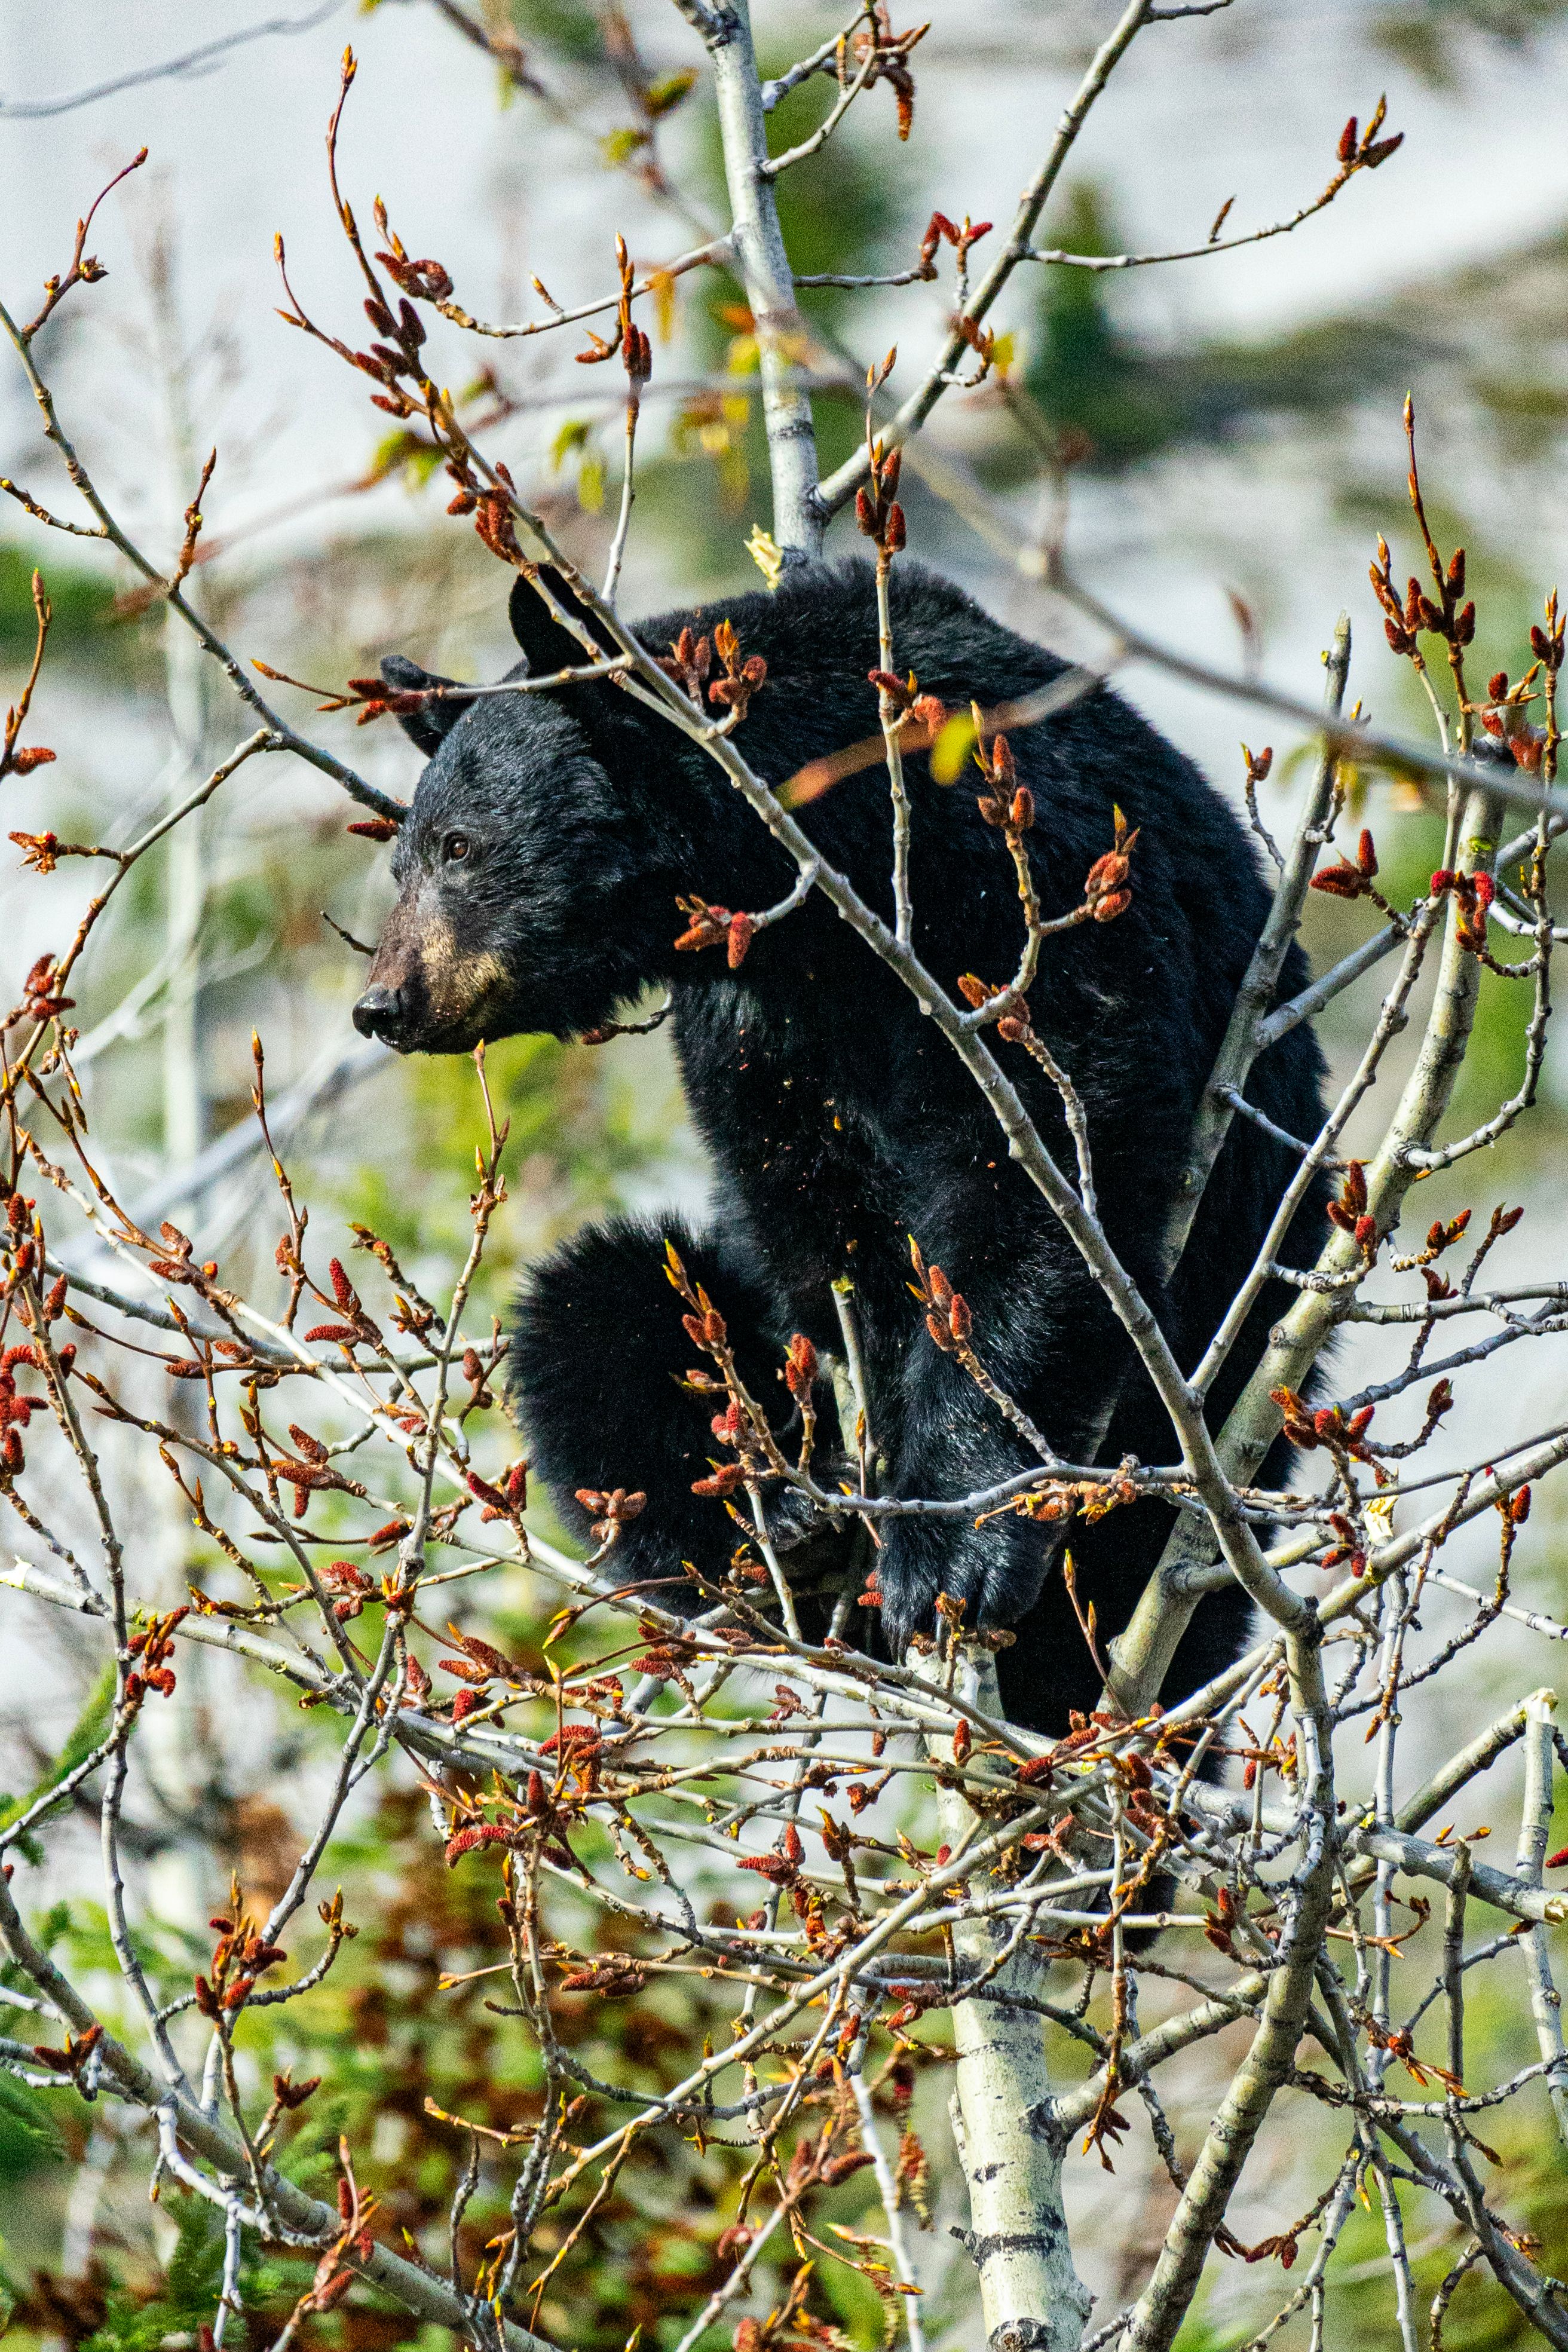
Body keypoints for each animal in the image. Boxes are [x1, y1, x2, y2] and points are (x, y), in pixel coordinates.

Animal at [353, 558, 1328, 1735]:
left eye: (458, 847)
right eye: (405, 861)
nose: (383, 1004)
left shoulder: (1030, 886)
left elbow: (1042, 1172)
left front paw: (949, 1549)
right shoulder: (751, 1016)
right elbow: (803, 1215)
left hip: (1233, 1389)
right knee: (596, 1304)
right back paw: (775, 1532)